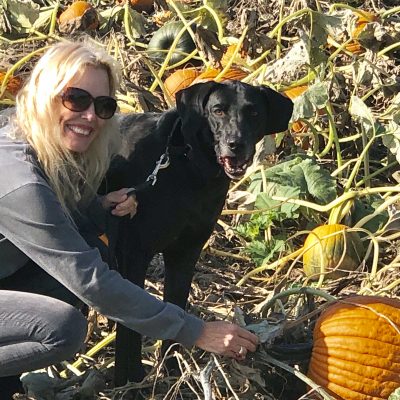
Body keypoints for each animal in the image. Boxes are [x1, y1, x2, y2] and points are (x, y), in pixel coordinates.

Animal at [104, 80, 292, 388]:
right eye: (218, 110)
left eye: (254, 112)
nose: (236, 144)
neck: (189, 166)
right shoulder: (135, 253)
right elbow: (129, 328)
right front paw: (129, 382)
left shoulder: (185, 254)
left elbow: (175, 309)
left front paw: (173, 371)